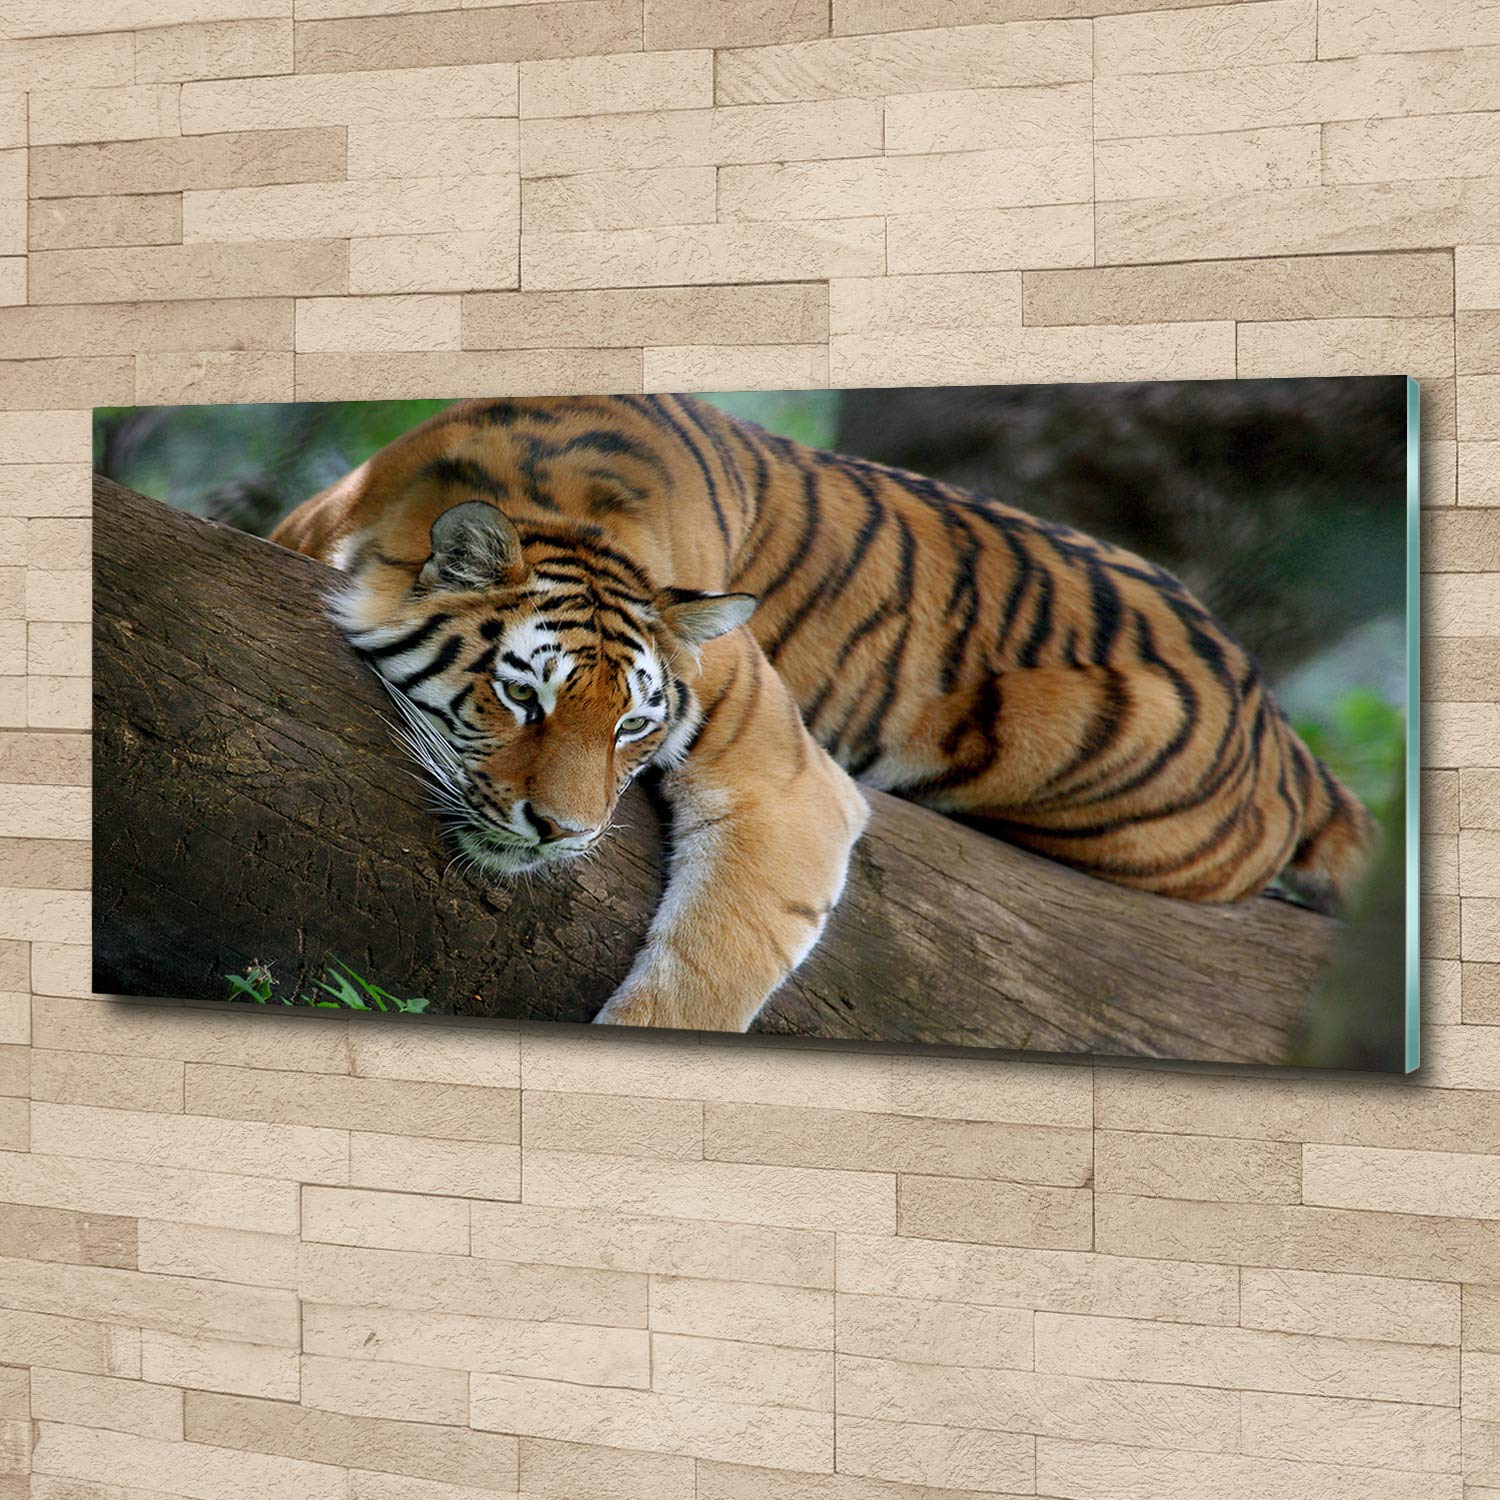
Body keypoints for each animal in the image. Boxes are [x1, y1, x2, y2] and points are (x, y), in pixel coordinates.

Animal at [270, 393, 1374, 1034]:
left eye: (632, 726)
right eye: (519, 695)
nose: (564, 832)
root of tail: (1282, 727)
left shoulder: (786, 779)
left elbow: (706, 971)